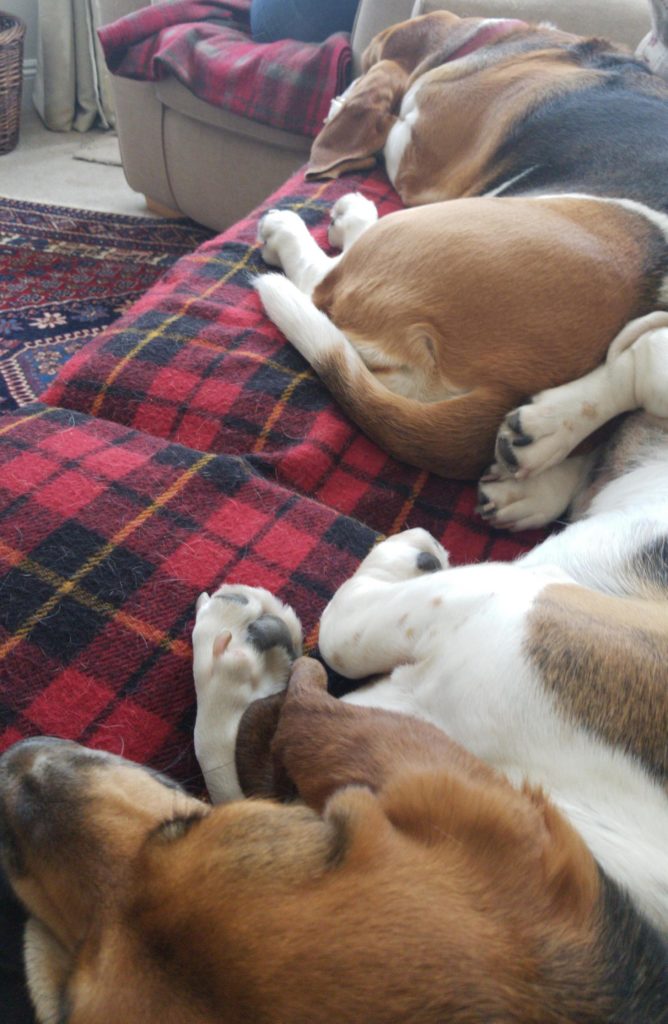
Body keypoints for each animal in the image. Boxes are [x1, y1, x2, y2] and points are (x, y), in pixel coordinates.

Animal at [253, 9, 667, 479]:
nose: (334, 101)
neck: (493, 40)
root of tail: (506, 385)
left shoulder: (418, 160)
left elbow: (395, 131)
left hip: (406, 233)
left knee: (321, 282)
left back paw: (307, 225)